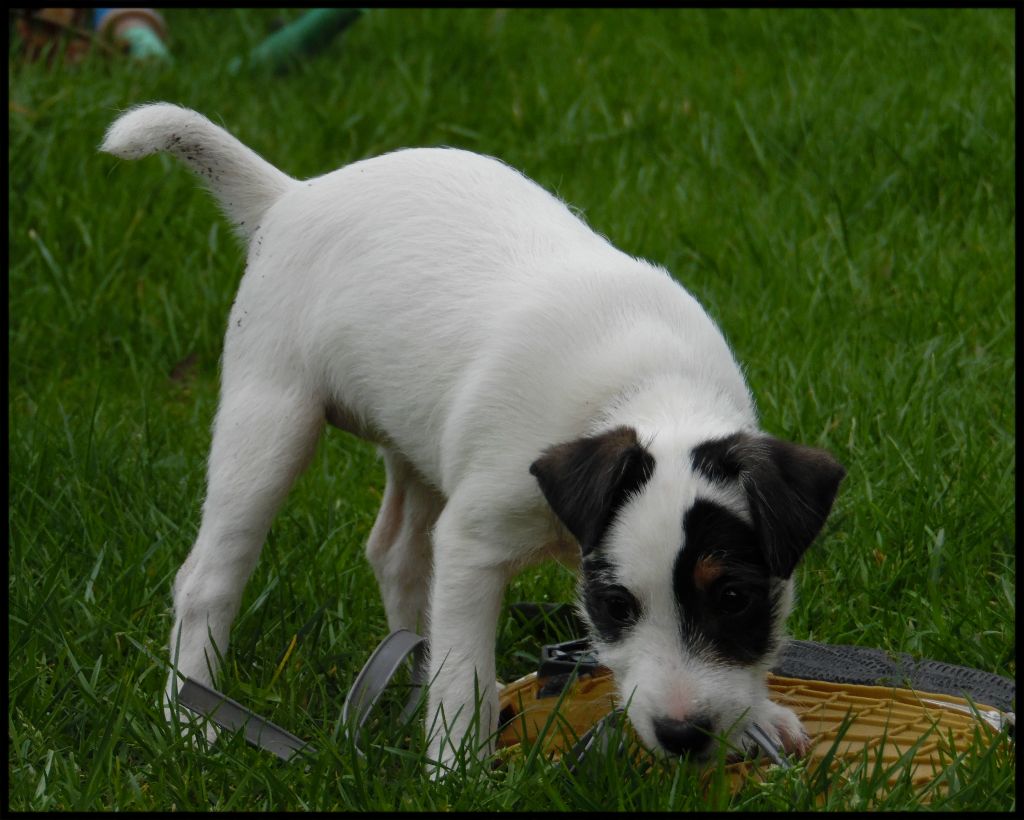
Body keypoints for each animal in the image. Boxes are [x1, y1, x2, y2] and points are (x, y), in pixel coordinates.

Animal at [99, 102, 843, 773]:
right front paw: (456, 768)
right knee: (209, 579)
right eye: (614, 606)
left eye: (735, 598)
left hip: (417, 440)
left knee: (398, 556)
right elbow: (466, 674)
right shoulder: (473, 545)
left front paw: (755, 718)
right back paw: (190, 721)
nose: (683, 736)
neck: (645, 389)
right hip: (270, 418)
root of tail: (292, 196)